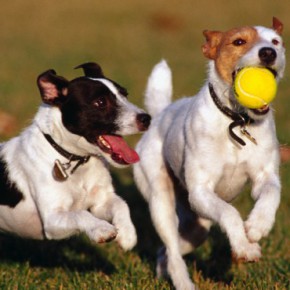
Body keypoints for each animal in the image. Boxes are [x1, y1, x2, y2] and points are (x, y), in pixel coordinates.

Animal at [0, 62, 152, 253]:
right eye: (100, 102)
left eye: (125, 94)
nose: (146, 118)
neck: (76, 160)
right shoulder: (52, 220)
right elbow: (81, 214)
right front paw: (102, 229)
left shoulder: (100, 202)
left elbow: (121, 204)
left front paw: (127, 234)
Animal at [134, 18, 286, 290]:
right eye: (238, 41)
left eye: (276, 41)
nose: (268, 53)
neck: (236, 121)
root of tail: (161, 114)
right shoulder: (201, 191)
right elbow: (229, 213)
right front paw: (244, 247)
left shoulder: (264, 176)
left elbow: (270, 194)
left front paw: (257, 227)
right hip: (161, 201)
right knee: (172, 250)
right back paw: (183, 283)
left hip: (197, 225)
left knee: (167, 251)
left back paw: (162, 271)